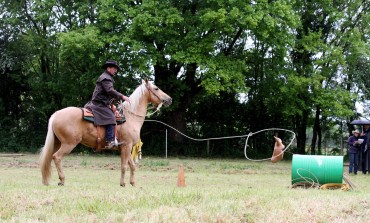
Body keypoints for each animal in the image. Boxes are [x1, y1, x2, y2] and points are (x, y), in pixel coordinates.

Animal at [39, 79, 173, 187]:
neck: (130, 117)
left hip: (57, 143)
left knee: (50, 158)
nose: (169, 99)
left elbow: (132, 165)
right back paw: (62, 180)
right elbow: (124, 166)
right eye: (156, 88)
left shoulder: (125, 147)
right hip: (68, 144)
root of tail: (56, 115)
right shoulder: (127, 146)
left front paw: (133, 183)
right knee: (57, 157)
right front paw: (122, 183)